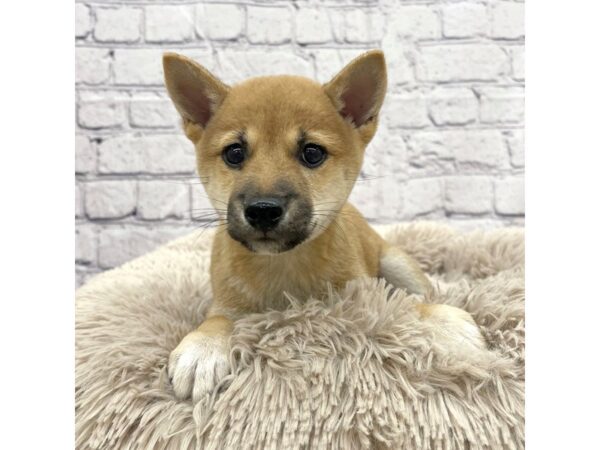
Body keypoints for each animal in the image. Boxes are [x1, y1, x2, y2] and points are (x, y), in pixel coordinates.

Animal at [163, 51, 482, 402]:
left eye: (312, 153)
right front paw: (203, 346)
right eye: (234, 153)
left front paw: (443, 323)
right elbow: (217, 319)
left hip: (396, 265)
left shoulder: (366, 299)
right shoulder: (225, 301)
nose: (263, 211)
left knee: (420, 291)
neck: (284, 267)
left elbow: (404, 306)